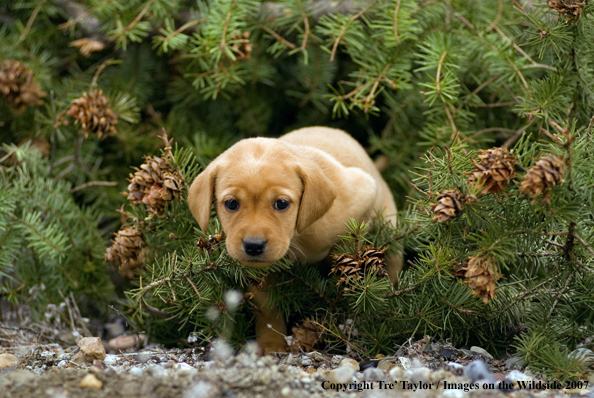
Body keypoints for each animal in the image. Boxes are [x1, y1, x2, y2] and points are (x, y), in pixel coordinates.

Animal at [187, 126, 400, 352]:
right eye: (231, 204)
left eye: (281, 203)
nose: (253, 246)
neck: (296, 236)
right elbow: (268, 309)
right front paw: (271, 345)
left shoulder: (364, 193)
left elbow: (349, 253)